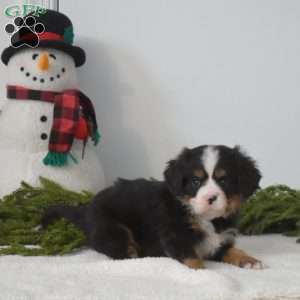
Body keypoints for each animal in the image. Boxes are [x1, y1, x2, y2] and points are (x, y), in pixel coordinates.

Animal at [42, 145, 262, 270]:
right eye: (195, 181)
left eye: (224, 180)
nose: (211, 198)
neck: (207, 219)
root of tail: (86, 207)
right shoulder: (174, 236)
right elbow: (192, 259)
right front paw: (202, 273)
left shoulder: (219, 240)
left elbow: (232, 251)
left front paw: (250, 260)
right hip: (112, 228)